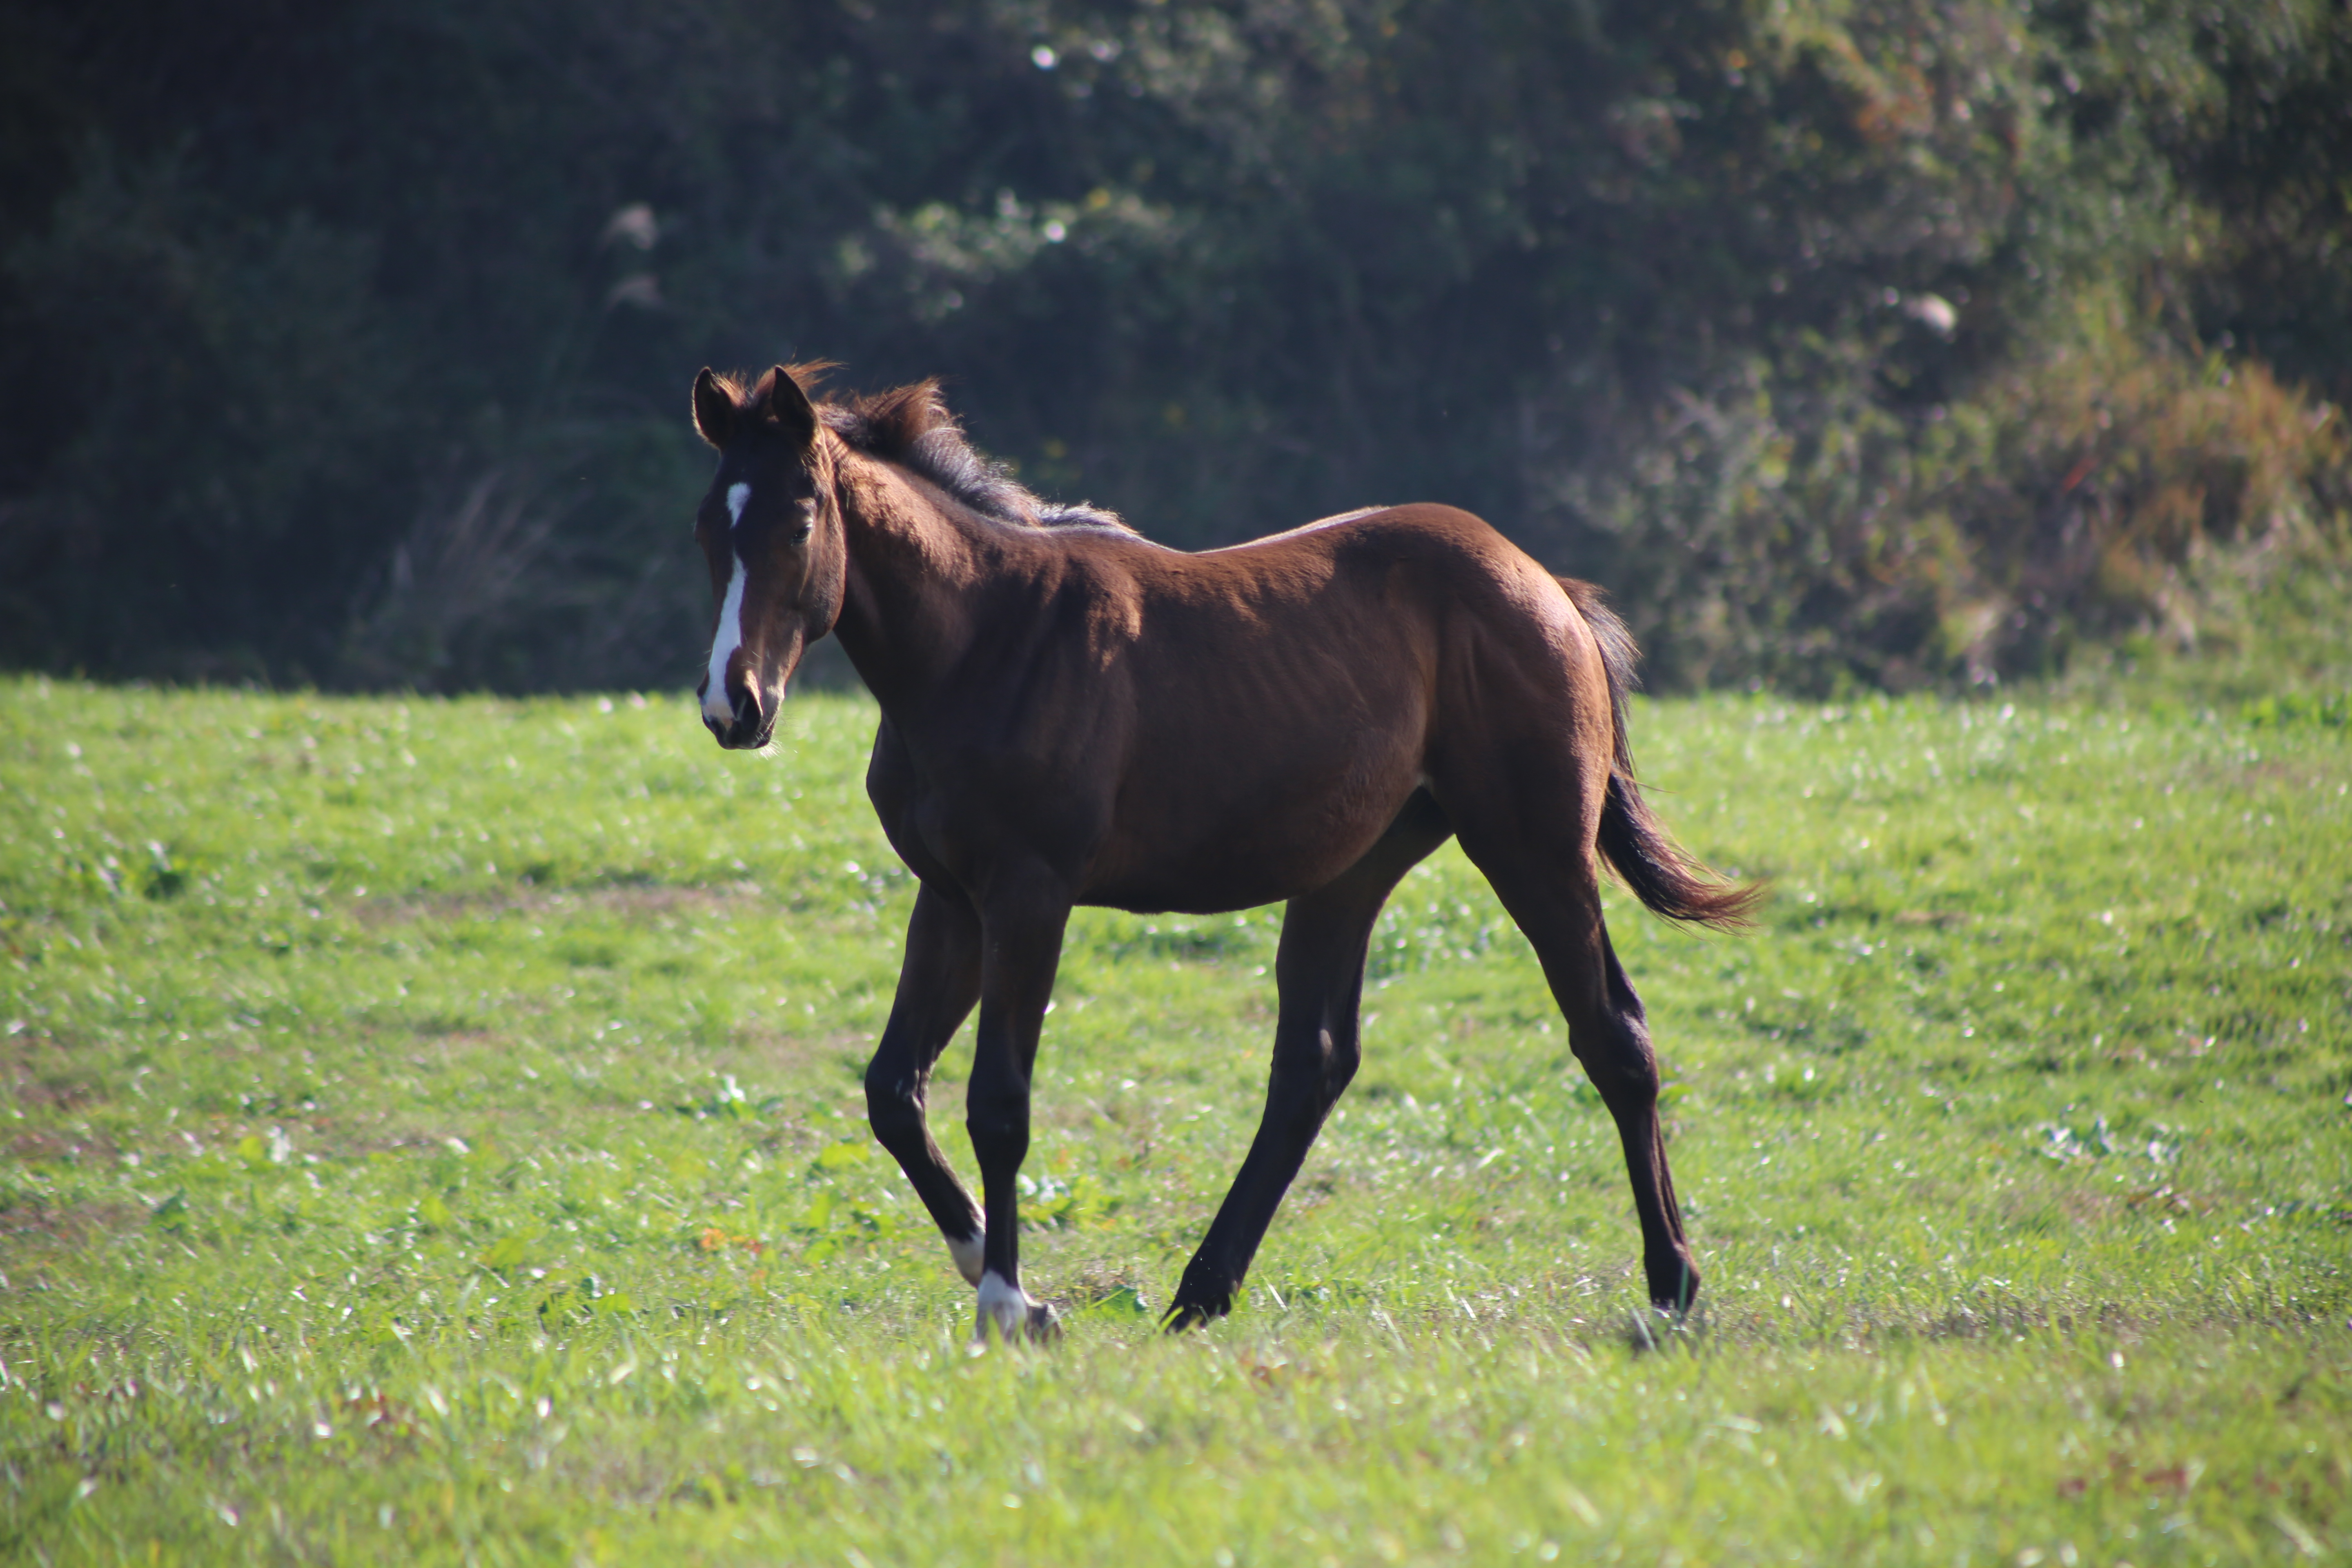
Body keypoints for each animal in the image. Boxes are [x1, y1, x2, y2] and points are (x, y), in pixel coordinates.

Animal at [686, 364, 1759, 1335]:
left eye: (798, 524)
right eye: (708, 530)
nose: (733, 705)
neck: (984, 641)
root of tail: (1547, 588)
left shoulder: (1029, 895)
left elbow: (998, 1102)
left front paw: (1013, 1303)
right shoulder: (950, 898)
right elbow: (891, 1090)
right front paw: (981, 1250)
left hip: (1534, 848)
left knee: (1613, 1036)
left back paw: (1670, 1289)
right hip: (1350, 872)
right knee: (1313, 1065)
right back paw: (1201, 1292)